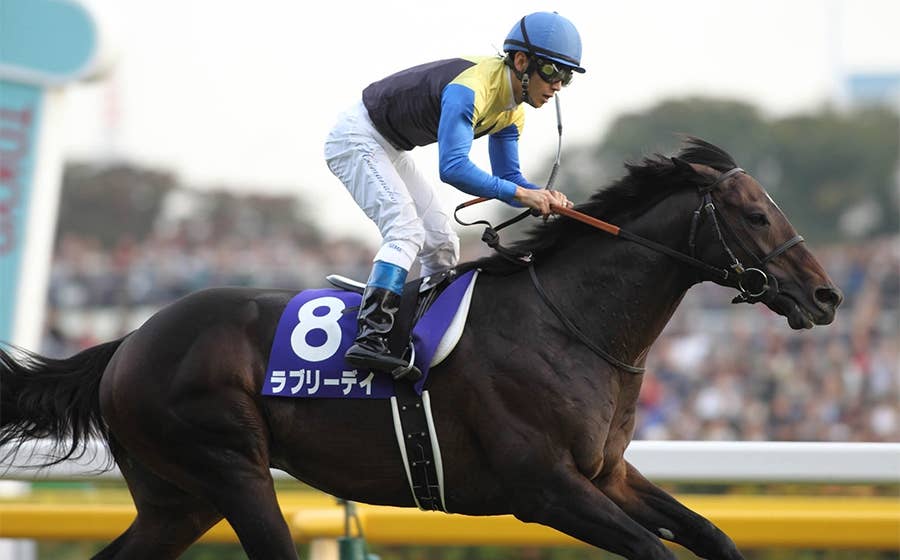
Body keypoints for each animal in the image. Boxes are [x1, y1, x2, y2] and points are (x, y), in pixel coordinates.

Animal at [1, 138, 842, 560]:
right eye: (755, 215)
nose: (828, 296)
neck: (569, 323)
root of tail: (128, 341)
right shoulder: (543, 487)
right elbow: (658, 550)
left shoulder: (608, 474)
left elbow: (710, 534)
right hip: (231, 469)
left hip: (181, 499)